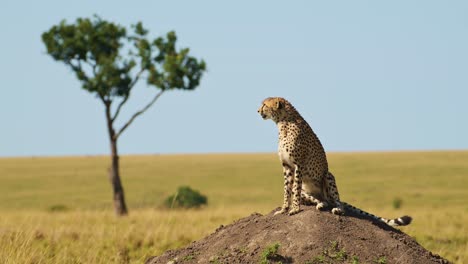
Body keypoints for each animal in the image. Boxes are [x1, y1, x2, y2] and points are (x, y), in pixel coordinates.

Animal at [258, 97, 412, 227]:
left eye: (264, 104)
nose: (258, 111)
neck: (283, 122)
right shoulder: (287, 166)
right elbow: (287, 189)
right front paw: (284, 209)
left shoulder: (298, 165)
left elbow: (294, 189)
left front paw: (295, 209)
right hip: (307, 192)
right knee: (323, 201)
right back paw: (320, 204)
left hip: (328, 176)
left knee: (336, 202)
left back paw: (337, 209)